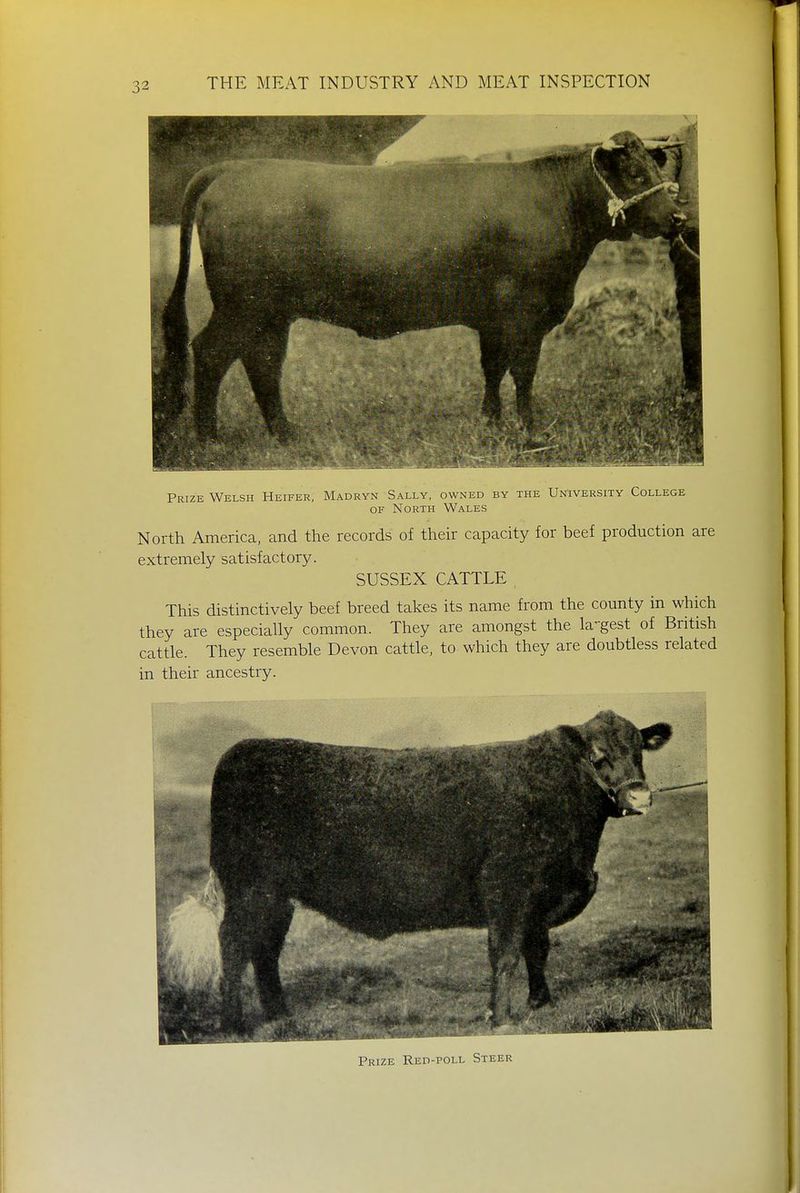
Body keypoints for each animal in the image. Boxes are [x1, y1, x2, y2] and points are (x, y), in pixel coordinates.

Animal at [155, 131, 686, 446]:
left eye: (659, 170)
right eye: (635, 173)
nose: (679, 218)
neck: (556, 201)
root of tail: (234, 167)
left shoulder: (492, 316)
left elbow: (492, 369)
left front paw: (491, 423)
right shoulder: (523, 313)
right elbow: (523, 372)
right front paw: (530, 431)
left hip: (270, 311)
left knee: (263, 361)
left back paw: (286, 434)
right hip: (243, 305)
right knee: (211, 353)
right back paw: (210, 437)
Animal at [164, 710, 672, 1033]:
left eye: (640, 751)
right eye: (596, 754)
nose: (639, 795)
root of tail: (242, 750)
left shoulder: (538, 894)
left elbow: (537, 948)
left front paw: (539, 1003)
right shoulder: (507, 885)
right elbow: (506, 953)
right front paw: (502, 1018)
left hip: (276, 895)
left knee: (264, 949)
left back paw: (279, 1017)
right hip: (250, 886)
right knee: (234, 944)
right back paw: (235, 1024)